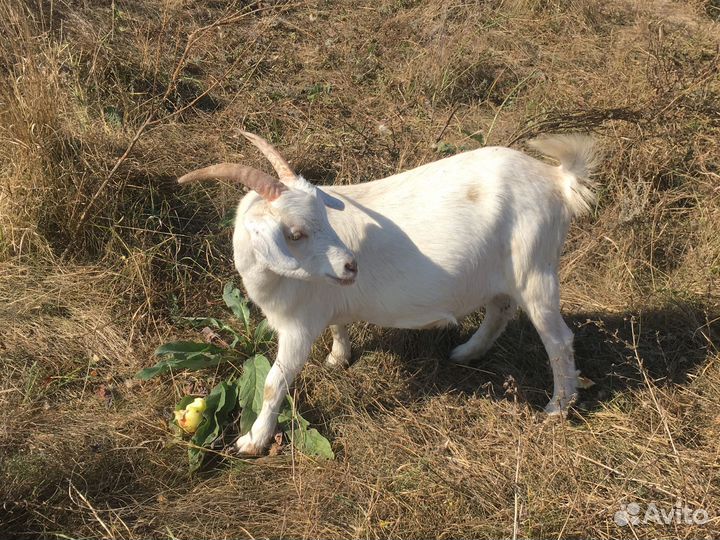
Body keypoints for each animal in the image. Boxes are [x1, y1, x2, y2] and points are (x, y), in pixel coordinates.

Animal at [178, 131, 599, 455]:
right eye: (295, 233)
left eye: (322, 217)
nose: (350, 266)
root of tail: (556, 179)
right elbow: (338, 327)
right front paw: (339, 357)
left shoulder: (298, 326)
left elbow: (272, 384)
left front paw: (253, 440)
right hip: (505, 273)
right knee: (500, 310)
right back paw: (467, 352)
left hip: (536, 270)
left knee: (558, 339)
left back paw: (558, 407)